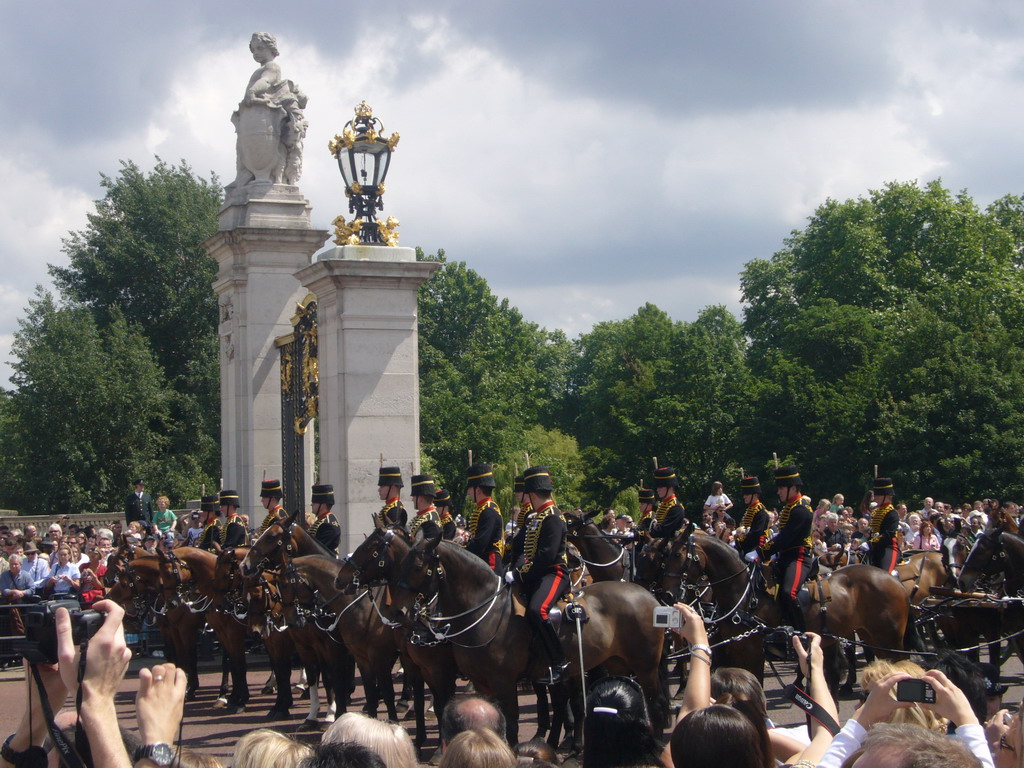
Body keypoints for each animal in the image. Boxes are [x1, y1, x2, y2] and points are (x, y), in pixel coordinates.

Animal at [387, 536, 667, 745]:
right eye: (401, 563)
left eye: (418, 566)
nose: (399, 613)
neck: (485, 610)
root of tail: (646, 593)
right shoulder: (481, 682)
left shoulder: (502, 681)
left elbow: (509, 726)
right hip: (612, 663)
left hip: (645, 667)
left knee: (654, 704)